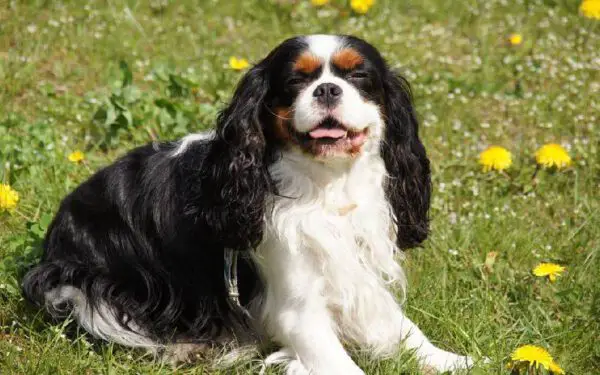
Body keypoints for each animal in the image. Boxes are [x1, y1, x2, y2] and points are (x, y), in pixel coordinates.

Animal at [22, 33, 474, 374]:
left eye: (359, 75)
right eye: (295, 81)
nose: (328, 89)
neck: (326, 185)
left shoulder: (357, 272)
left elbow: (402, 327)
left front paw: (452, 359)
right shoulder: (296, 309)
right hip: (90, 286)